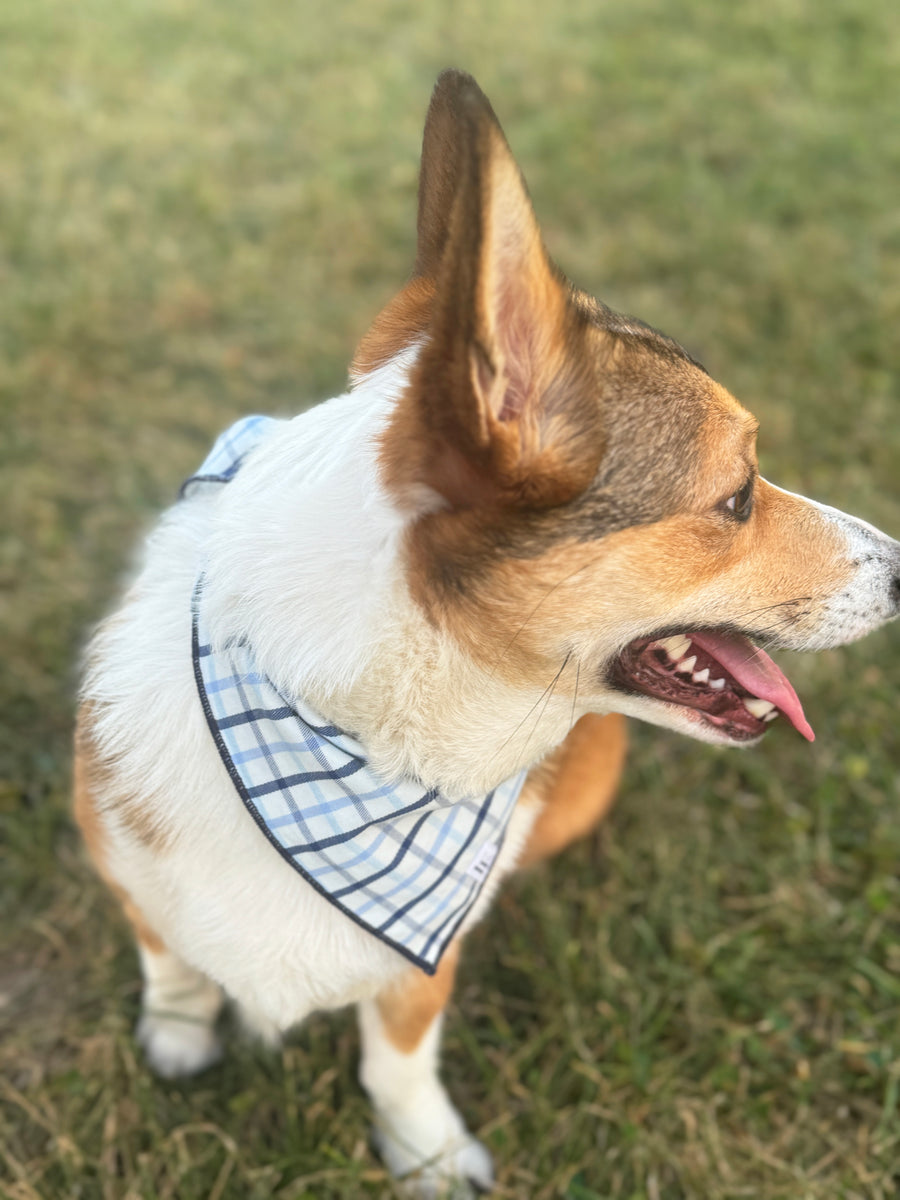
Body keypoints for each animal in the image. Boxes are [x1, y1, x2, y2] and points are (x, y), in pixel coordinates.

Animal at [77, 70, 900, 1195]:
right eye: (737, 497)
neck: (343, 726)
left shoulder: (422, 963)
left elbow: (398, 1055)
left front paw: (424, 1154)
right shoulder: (124, 865)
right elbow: (168, 955)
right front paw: (178, 1033)